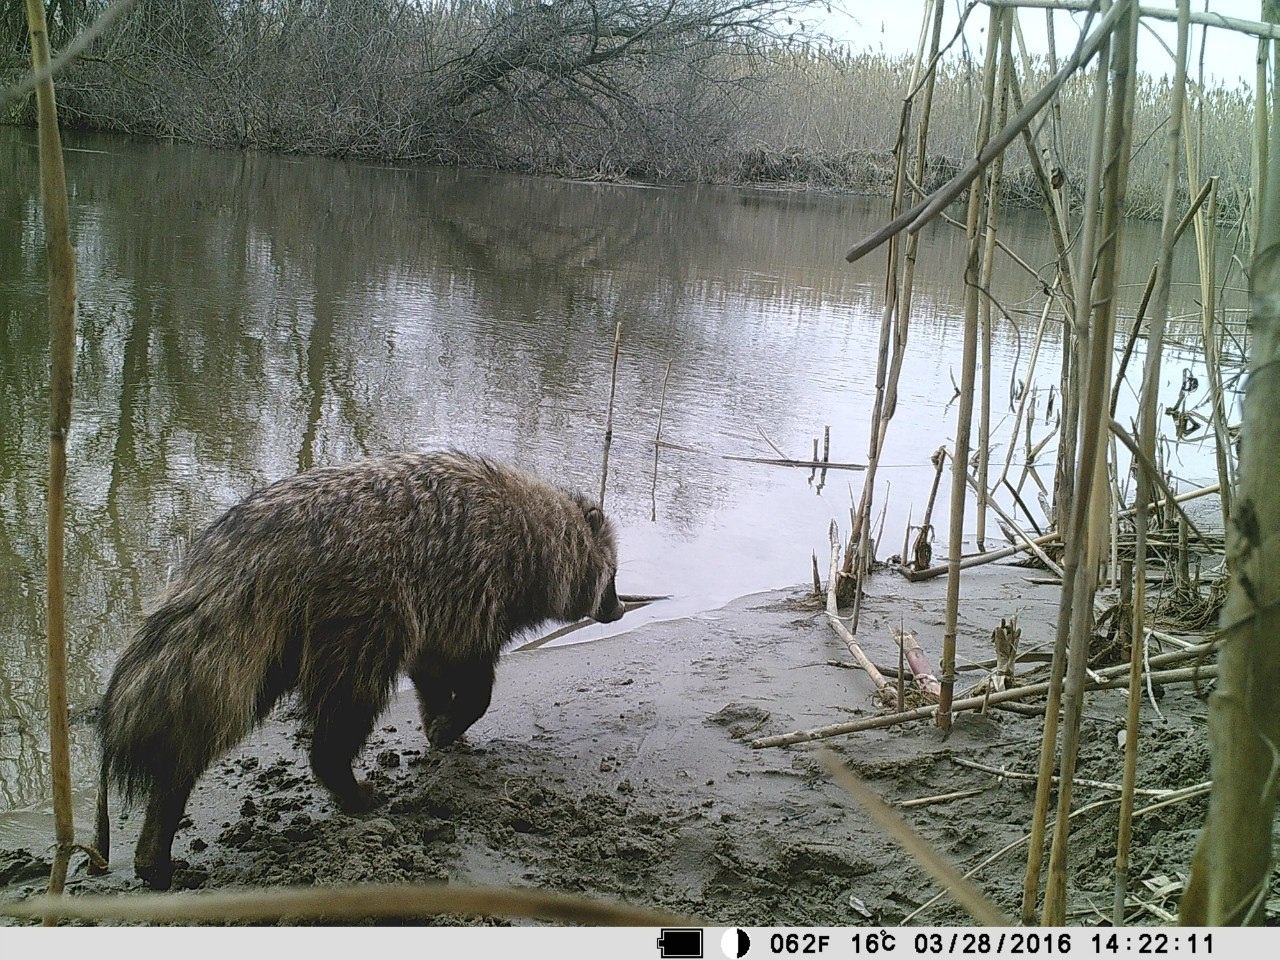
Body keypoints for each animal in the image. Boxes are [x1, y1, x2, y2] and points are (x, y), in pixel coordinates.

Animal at [96, 455, 624, 890]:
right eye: (613, 575)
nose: (619, 609)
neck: (543, 528)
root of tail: (266, 535)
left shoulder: (443, 607)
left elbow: (431, 667)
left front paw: (438, 720)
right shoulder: (478, 588)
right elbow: (474, 685)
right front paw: (453, 721)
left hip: (277, 631)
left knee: (204, 717)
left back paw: (162, 818)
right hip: (358, 607)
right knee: (346, 704)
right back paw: (342, 781)